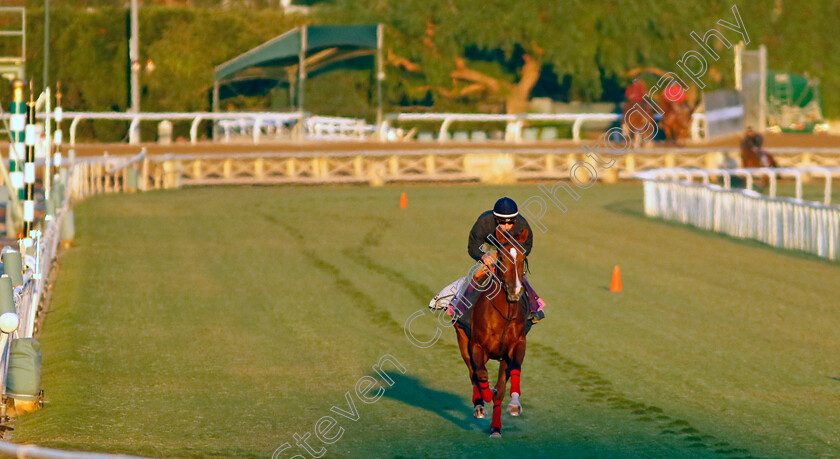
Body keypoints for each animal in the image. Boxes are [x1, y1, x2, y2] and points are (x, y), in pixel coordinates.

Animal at [456, 228, 528, 440]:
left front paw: (513, 405)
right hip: (462, 340)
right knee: (473, 372)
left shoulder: (517, 345)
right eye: (502, 258)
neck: (505, 314)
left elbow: (513, 373)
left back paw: (496, 427)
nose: (515, 290)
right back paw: (479, 405)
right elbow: (480, 374)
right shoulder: (476, 346)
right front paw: (485, 397)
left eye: (523, 258)